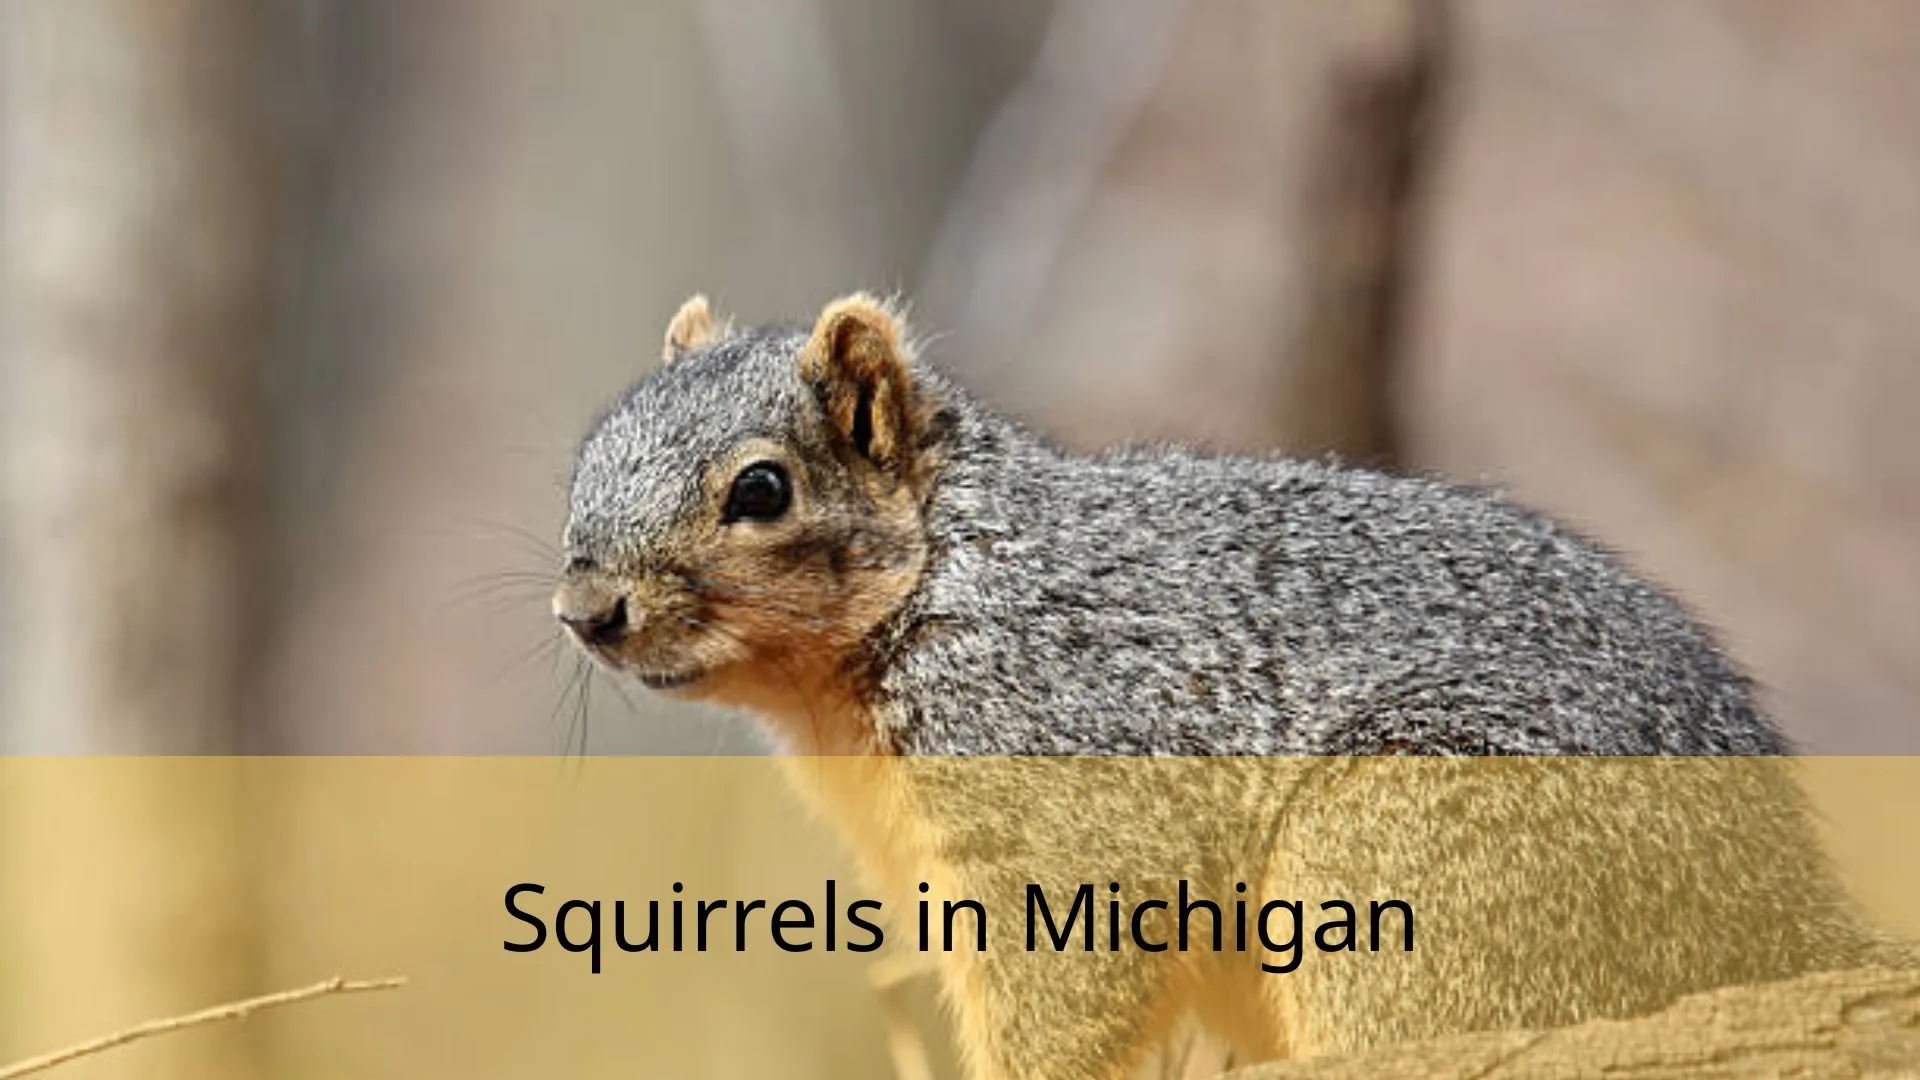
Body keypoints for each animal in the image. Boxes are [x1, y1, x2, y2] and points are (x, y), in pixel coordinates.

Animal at [553, 292, 1913, 1078]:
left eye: (763, 489)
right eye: (589, 450)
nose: (586, 611)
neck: (949, 573)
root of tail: (1783, 919)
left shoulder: (1061, 775)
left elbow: (1071, 985)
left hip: (1420, 852)